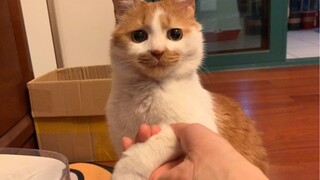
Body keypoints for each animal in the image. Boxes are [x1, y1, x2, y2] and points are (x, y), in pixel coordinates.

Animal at [106, 0, 266, 179]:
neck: (147, 91)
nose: (157, 51)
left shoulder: (192, 125)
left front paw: (125, 172)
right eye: (139, 36)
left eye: (175, 34)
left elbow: (144, 152)